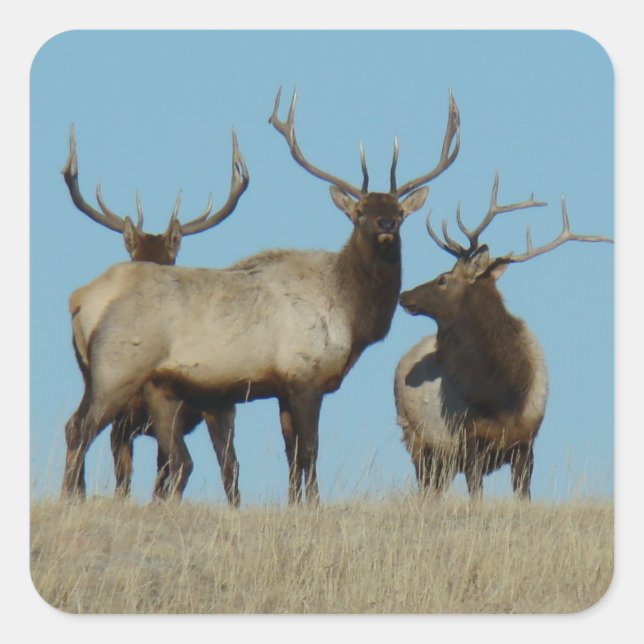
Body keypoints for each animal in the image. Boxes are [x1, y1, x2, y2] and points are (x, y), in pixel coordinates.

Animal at [395, 175, 612, 500]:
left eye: (443, 279)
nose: (404, 295)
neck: (503, 396)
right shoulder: (469, 440)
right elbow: (477, 497)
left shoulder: (526, 441)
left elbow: (523, 497)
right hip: (416, 438)